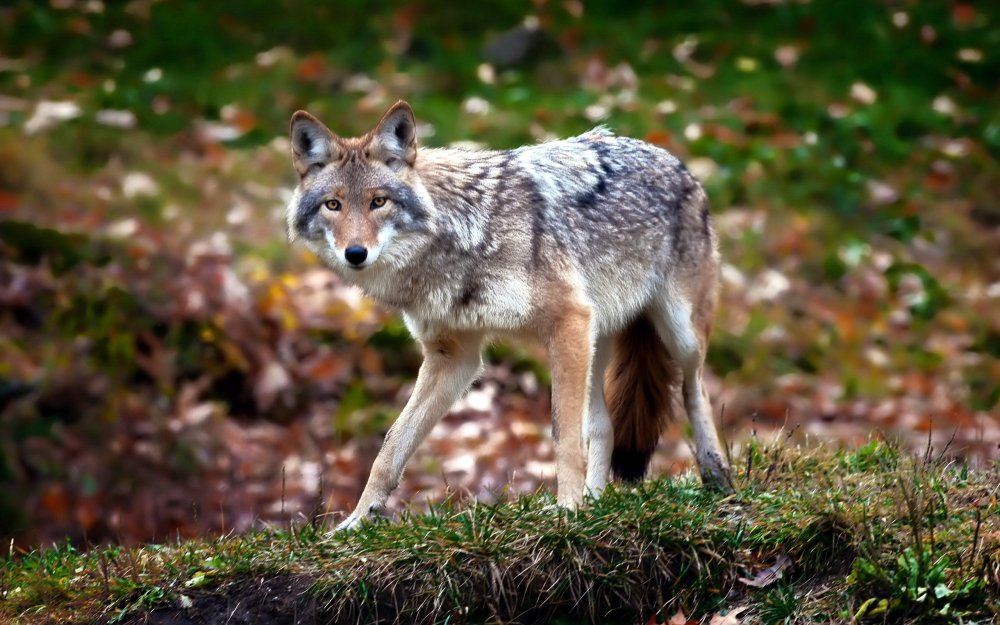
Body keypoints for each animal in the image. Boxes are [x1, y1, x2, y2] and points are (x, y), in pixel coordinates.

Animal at [284, 100, 736, 528]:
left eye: (378, 202)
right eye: (333, 205)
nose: (355, 253)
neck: (464, 236)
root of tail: (675, 161)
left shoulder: (568, 320)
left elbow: (563, 436)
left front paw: (566, 512)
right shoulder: (454, 357)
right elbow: (391, 446)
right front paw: (357, 522)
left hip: (675, 334)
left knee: (695, 390)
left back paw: (717, 477)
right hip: (595, 345)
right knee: (604, 426)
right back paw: (596, 504)